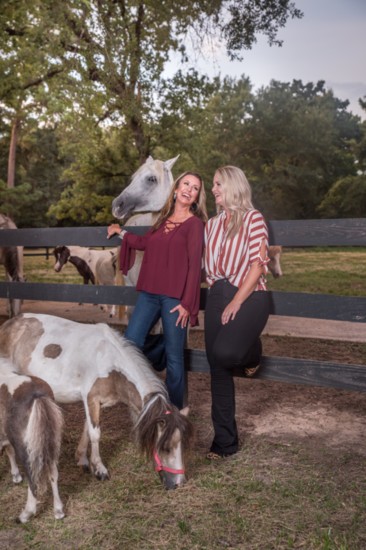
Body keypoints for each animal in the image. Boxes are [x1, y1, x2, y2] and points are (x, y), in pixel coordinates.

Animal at [0, 314, 193, 492]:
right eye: (166, 448)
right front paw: (100, 469)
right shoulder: (91, 398)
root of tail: (9, 324)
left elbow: (87, 428)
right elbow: (95, 434)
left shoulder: (94, 403)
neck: (110, 363)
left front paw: (82, 459)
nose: (178, 483)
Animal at [0, 360, 63, 524]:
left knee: (32, 475)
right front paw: (16, 476)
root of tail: (37, 396)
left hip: (26, 447)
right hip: (49, 443)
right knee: (53, 471)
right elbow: (8, 450)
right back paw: (58, 511)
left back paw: (26, 514)